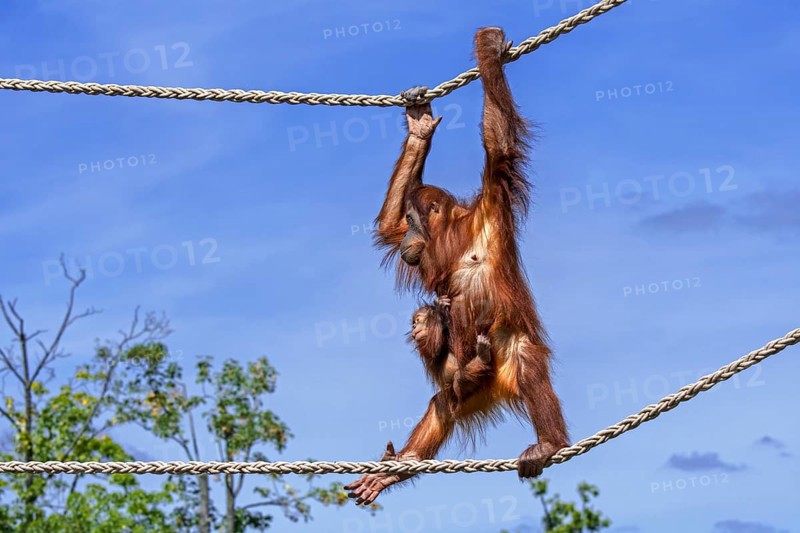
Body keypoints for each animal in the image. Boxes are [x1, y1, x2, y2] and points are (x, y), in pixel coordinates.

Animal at [345, 27, 569, 505]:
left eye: (416, 222)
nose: (410, 238)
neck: (458, 232)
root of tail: (492, 385)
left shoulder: (491, 203)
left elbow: (497, 143)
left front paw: (489, 50)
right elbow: (387, 225)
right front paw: (418, 126)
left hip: (502, 351)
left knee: (523, 356)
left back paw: (548, 443)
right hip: (465, 387)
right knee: (443, 403)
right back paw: (395, 468)